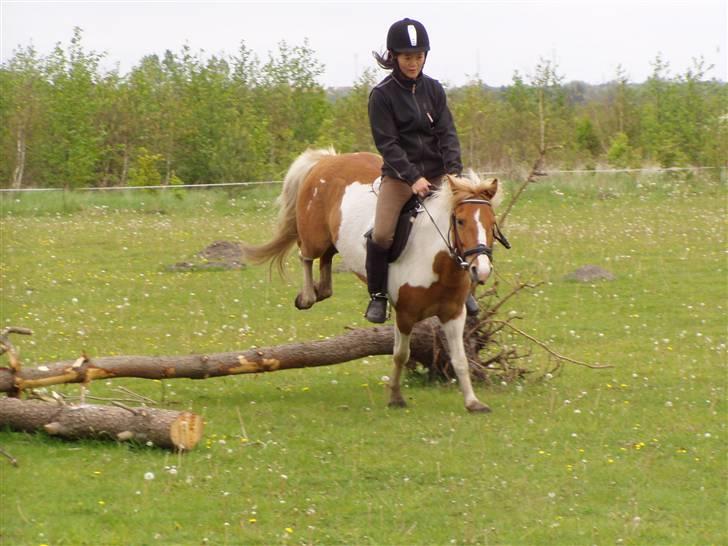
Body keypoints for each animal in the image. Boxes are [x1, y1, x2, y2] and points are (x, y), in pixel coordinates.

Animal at [242, 149, 504, 412]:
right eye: (460, 221)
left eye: (492, 222)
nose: (480, 270)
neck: (436, 262)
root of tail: (327, 160)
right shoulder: (405, 314)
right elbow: (401, 354)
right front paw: (395, 397)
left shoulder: (454, 313)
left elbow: (460, 359)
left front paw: (473, 402)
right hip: (315, 235)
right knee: (305, 254)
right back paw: (306, 296)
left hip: (334, 238)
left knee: (326, 260)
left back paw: (320, 290)